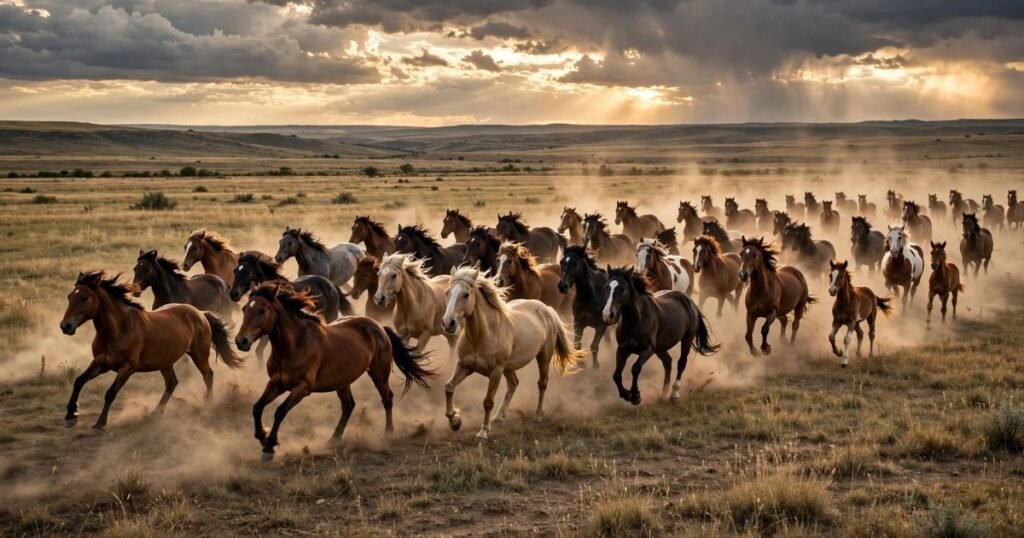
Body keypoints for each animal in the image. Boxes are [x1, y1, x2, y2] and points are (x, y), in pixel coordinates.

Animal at [60, 271, 242, 431]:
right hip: (166, 362)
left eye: (84, 298)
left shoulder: (127, 368)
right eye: (69, 297)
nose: (65, 326)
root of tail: (200, 313)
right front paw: (71, 416)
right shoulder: (100, 363)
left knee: (208, 375)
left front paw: (100, 423)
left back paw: (208, 404)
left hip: (199, 355)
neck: (119, 329)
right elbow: (79, 381)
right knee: (172, 383)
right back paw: (156, 412)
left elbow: (110, 393)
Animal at [236, 283, 434, 461]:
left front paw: (269, 446)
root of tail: (379, 327)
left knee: (387, 398)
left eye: (262, 310)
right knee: (348, 405)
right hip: (343, 381)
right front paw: (262, 436)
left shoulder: (302, 388)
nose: (241, 341)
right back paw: (334, 439)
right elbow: (257, 407)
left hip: (379, 374)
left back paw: (388, 433)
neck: (294, 345)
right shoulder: (276, 383)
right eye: (245, 308)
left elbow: (280, 411)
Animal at [441, 267, 581, 440]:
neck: (482, 335)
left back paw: (538, 415)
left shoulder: (496, 371)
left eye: (466, 294)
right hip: (509, 367)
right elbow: (449, 387)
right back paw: (499, 417)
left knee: (542, 384)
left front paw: (483, 432)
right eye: (447, 293)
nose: (448, 323)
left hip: (543, 358)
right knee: (513, 383)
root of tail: (547, 309)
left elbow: (488, 401)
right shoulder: (464, 365)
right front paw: (455, 422)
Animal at [602, 267, 718, 405]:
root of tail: (690, 302)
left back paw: (674, 394)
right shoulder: (622, 349)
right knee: (667, 362)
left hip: (687, 339)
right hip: (661, 348)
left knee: (681, 363)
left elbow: (635, 368)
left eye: (622, 288)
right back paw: (664, 393)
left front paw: (635, 396)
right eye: (606, 287)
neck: (635, 321)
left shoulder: (648, 349)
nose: (607, 315)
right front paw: (626, 394)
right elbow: (616, 375)